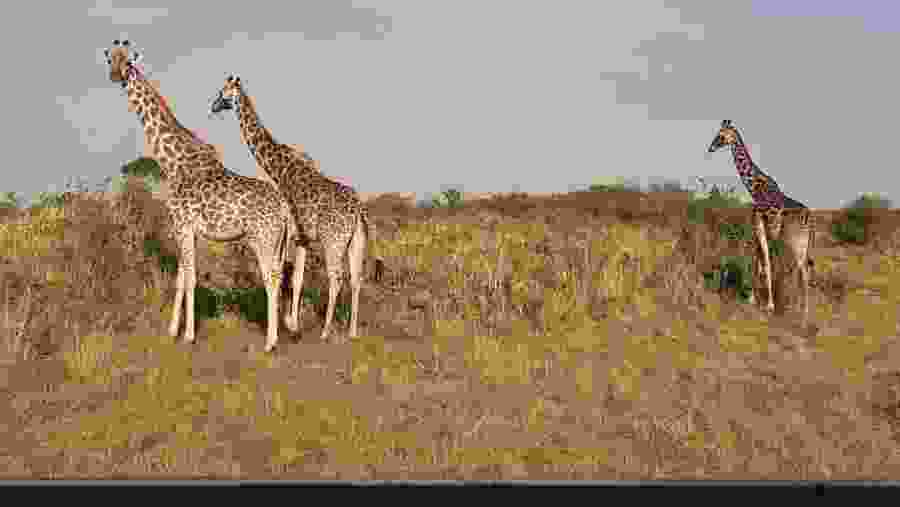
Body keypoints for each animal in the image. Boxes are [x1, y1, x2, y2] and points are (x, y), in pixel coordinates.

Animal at [104, 40, 294, 352]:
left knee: (272, 277)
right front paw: (172, 331)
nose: (115, 76)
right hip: (278, 241)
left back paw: (270, 342)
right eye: (110, 60)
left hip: (262, 237)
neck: (172, 162)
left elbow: (191, 278)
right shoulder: (186, 229)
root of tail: (284, 208)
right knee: (279, 275)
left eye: (128, 62)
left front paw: (190, 336)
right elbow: (181, 278)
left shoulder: (183, 225)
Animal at [209, 75, 382, 341]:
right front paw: (293, 323)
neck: (278, 167)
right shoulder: (302, 238)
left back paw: (325, 331)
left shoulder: (288, 233)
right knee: (356, 278)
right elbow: (297, 280)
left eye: (222, 92)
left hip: (333, 241)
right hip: (356, 240)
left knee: (336, 277)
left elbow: (281, 274)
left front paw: (286, 324)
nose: (213, 106)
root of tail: (358, 210)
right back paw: (352, 332)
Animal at [708, 120, 815, 323]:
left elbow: (764, 262)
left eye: (721, 135)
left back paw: (800, 313)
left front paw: (767, 305)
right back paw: (803, 312)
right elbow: (760, 261)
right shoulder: (764, 229)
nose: (711, 147)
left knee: (801, 270)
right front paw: (753, 299)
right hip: (803, 242)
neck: (754, 186)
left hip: (793, 240)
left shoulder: (758, 224)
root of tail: (809, 219)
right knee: (805, 270)